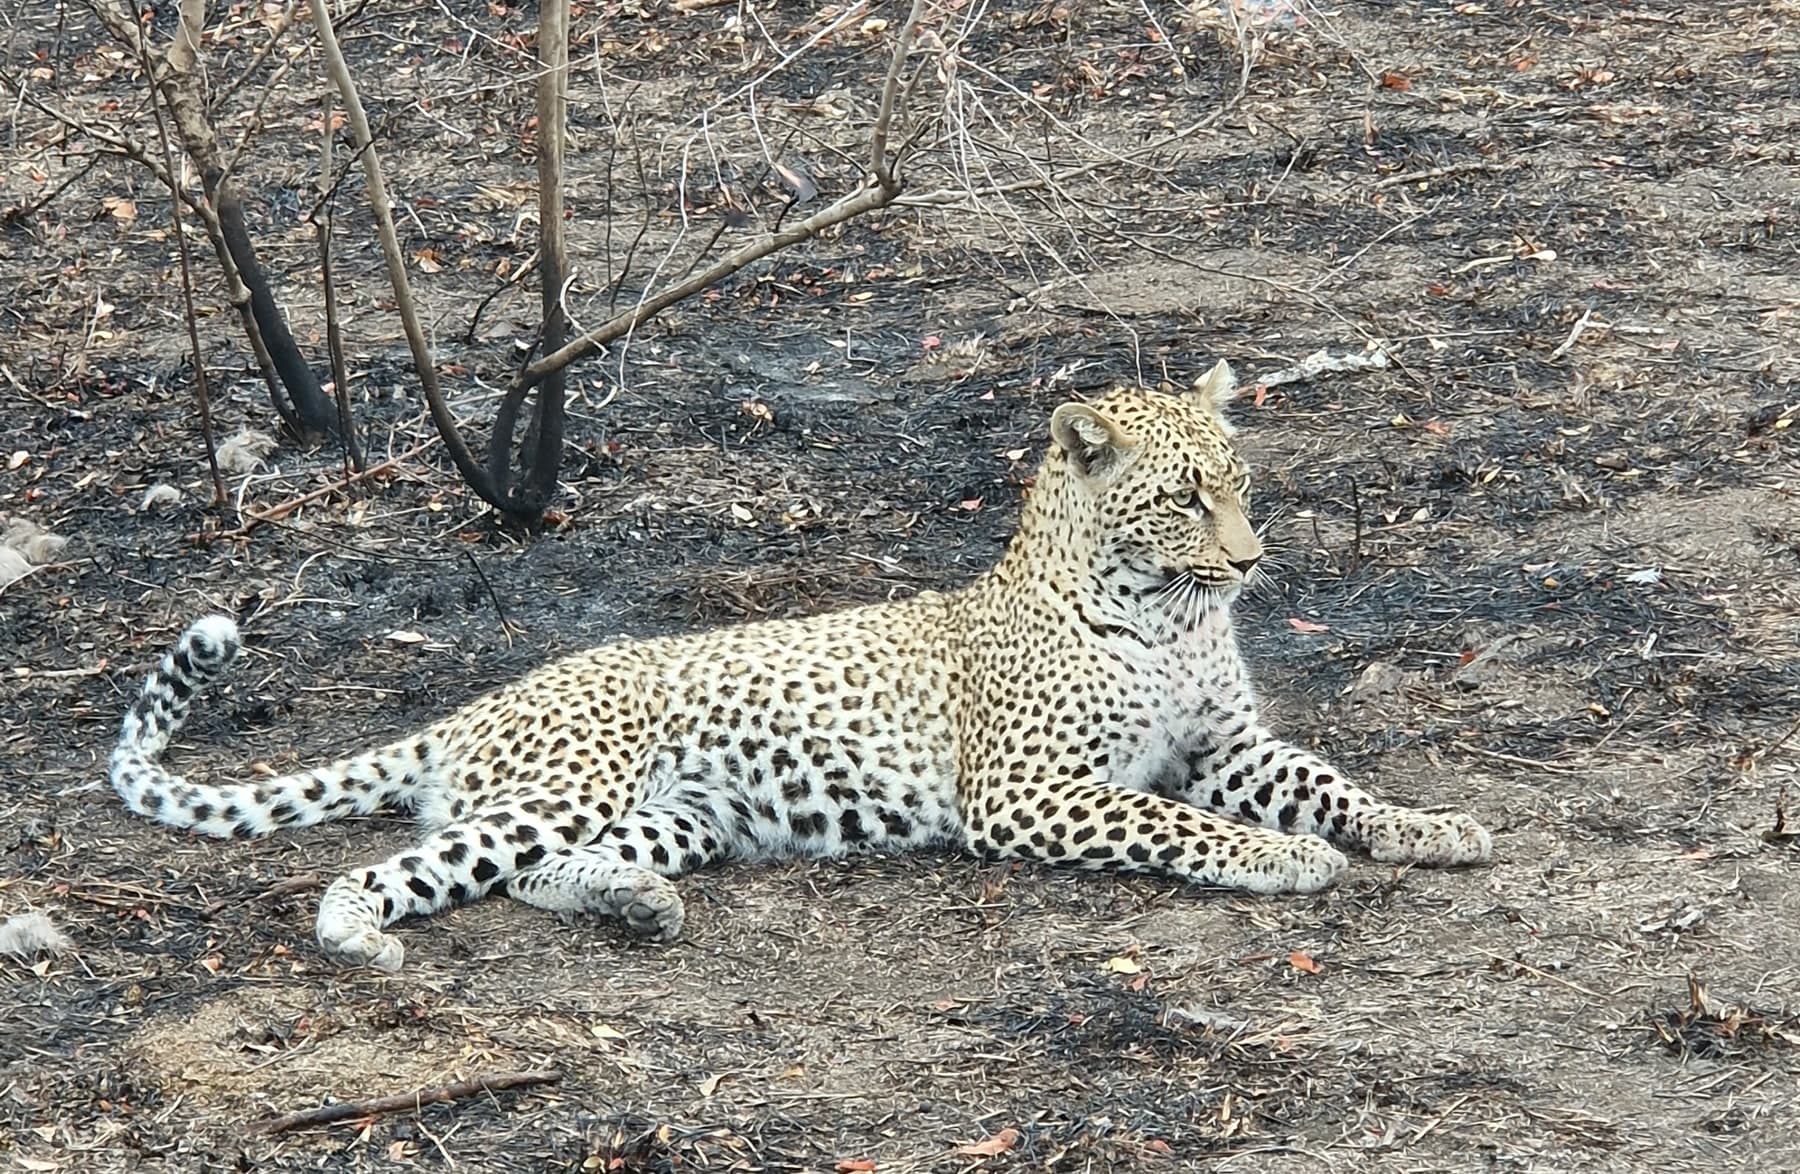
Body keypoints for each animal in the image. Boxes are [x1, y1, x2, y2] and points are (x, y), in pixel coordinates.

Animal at [110, 361, 1491, 971]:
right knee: (390, 868)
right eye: (1181, 498)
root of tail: (472, 707)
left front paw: (1431, 828)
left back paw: (637, 906)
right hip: (561, 787)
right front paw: (1278, 859)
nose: (1253, 560)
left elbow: (1332, 783)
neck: (1168, 614)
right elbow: (1177, 823)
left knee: (542, 876)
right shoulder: (1030, 790)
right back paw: (357, 933)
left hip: (685, 816)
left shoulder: (1230, 745)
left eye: (1243, 481)